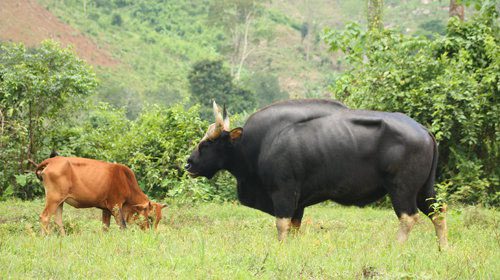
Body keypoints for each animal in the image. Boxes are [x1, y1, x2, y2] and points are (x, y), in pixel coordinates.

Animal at [34, 155, 166, 234]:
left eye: (159, 219)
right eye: (150, 217)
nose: (153, 235)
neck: (126, 181)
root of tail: (52, 160)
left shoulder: (106, 209)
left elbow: (105, 227)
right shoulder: (116, 206)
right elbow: (122, 226)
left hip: (60, 201)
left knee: (58, 220)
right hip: (54, 198)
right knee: (44, 217)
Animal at [187, 99, 450, 248]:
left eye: (207, 143)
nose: (189, 163)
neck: (259, 143)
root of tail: (424, 130)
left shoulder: (284, 193)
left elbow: (281, 226)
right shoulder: (298, 202)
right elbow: (294, 227)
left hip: (402, 189)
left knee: (408, 217)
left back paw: (396, 248)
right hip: (424, 189)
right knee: (438, 212)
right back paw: (443, 249)